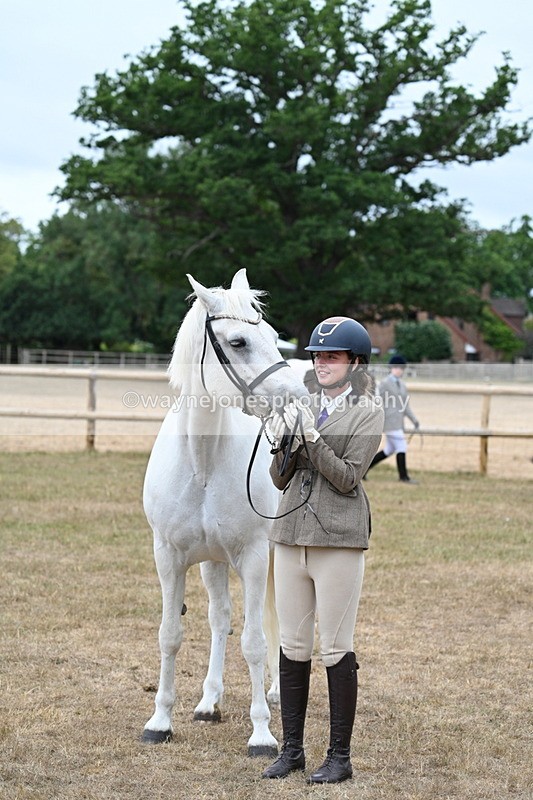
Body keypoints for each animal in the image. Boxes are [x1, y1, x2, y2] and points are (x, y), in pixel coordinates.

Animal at [141, 269, 308, 756]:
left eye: (273, 336)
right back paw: (209, 701)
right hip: (212, 562)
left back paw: (274, 693)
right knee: (221, 619)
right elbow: (171, 635)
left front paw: (262, 733)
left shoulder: (253, 557)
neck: (203, 463)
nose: (299, 400)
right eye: (238, 342)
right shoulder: (169, 558)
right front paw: (160, 721)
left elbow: (254, 642)